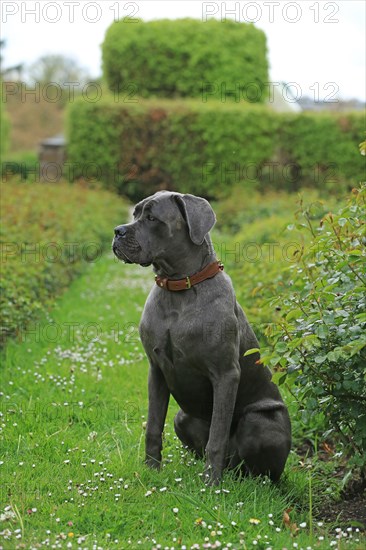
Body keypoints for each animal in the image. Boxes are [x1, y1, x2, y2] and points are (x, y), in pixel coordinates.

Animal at [113, 192, 290, 486]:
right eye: (135, 213)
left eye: (152, 218)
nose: (117, 231)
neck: (179, 288)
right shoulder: (156, 370)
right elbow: (153, 427)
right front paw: (151, 471)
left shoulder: (226, 374)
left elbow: (216, 438)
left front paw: (211, 485)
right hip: (182, 417)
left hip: (262, 420)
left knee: (262, 472)